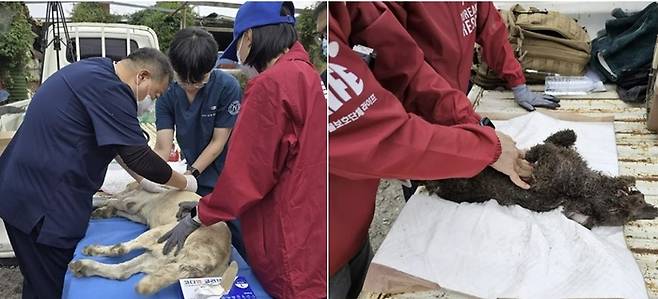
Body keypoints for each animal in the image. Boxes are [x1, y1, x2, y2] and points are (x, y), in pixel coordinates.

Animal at [66, 183, 236, 296]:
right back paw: (83, 266)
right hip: (157, 259)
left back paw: (93, 250)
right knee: (122, 271)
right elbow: (114, 206)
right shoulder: (136, 213)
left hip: (160, 235)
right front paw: (102, 212)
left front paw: (98, 204)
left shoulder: (126, 200)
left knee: (121, 249)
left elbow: (107, 199)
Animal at [420, 130, 656, 229]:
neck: (581, 187)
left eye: (617, 213)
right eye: (616, 207)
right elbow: (564, 136)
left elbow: (543, 148)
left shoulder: (547, 167)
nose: (653, 211)